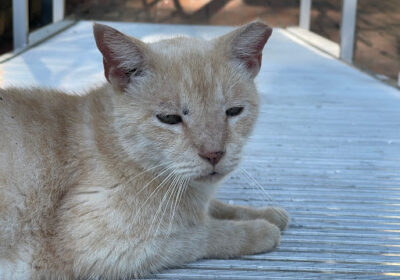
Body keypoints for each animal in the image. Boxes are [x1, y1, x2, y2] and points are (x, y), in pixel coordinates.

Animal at [0, 20, 290, 278]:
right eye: (170, 118)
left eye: (233, 111)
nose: (214, 154)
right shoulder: (104, 246)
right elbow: (203, 233)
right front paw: (260, 229)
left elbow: (218, 208)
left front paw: (266, 212)